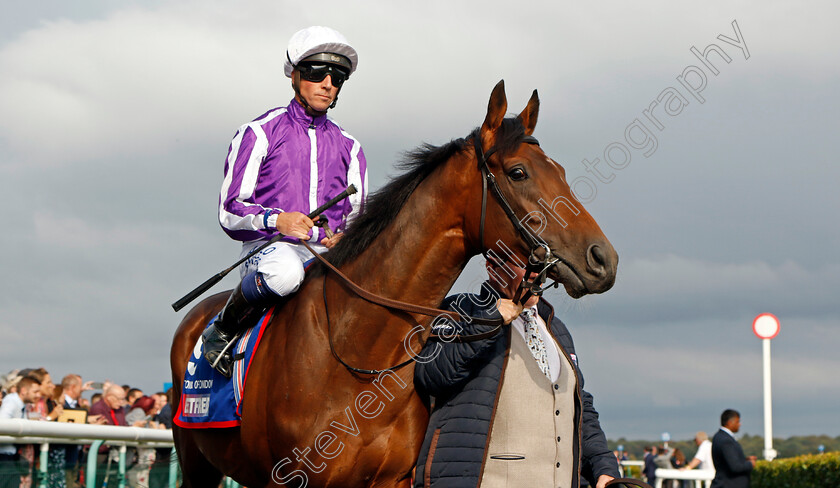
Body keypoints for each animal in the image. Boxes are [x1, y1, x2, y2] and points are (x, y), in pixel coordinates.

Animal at [171, 81, 616, 488]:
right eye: (518, 172)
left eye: (559, 171)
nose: (604, 259)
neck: (358, 352)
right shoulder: (291, 478)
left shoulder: (393, 479)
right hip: (195, 460)